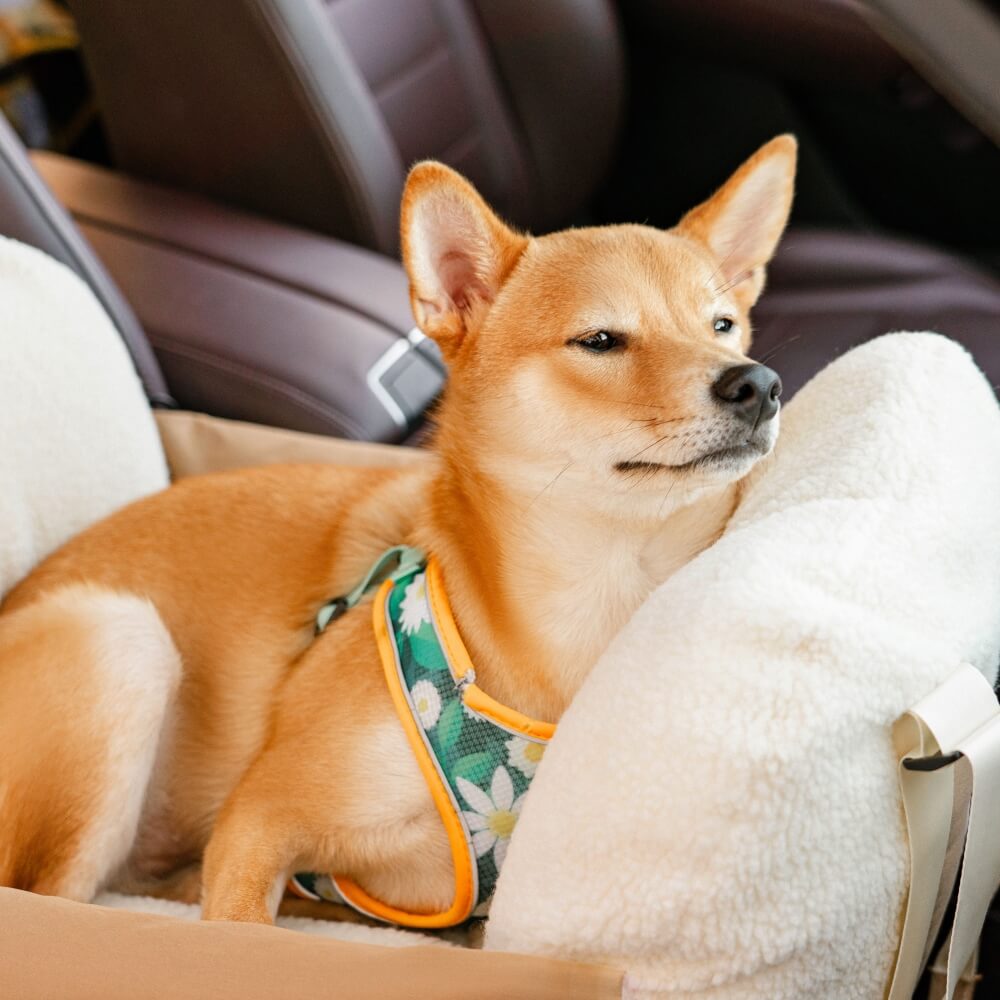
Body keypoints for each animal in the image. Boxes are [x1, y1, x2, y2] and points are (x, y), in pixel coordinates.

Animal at [0, 137, 796, 924]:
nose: (756, 382)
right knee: (53, 901)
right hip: (120, 640)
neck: (596, 597)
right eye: (600, 340)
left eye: (722, 327)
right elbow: (239, 924)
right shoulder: (256, 824)